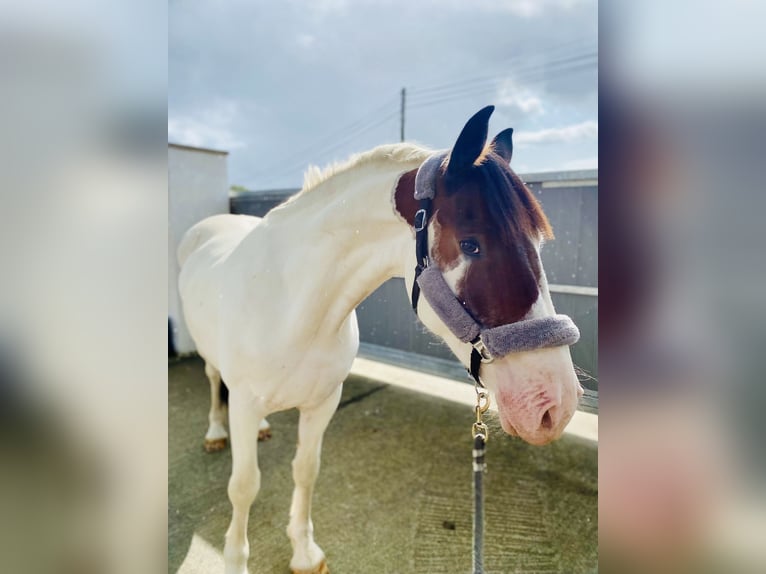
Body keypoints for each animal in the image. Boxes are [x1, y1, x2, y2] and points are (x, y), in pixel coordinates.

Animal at [177, 106, 584, 572]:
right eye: (471, 245)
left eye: (538, 244)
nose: (556, 405)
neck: (293, 306)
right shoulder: (244, 405)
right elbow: (244, 486)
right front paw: (236, 558)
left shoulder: (323, 403)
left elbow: (306, 470)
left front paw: (304, 551)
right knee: (213, 382)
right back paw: (214, 433)